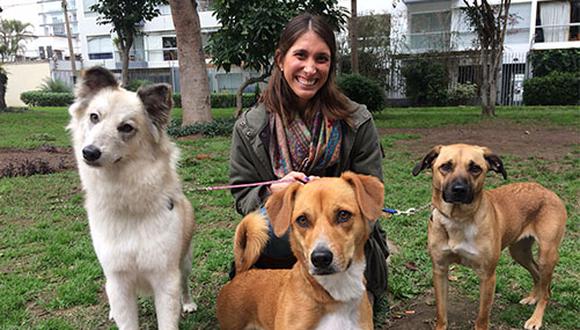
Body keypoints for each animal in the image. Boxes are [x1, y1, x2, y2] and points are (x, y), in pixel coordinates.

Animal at [68, 67, 197, 330]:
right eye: (94, 117)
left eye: (126, 127)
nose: (89, 152)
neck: (128, 200)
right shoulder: (118, 278)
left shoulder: (165, 278)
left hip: (185, 262)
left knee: (185, 283)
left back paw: (188, 303)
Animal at [412, 144, 568, 330]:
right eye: (446, 166)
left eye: (475, 168)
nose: (459, 190)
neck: (458, 219)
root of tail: (547, 190)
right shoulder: (440, 270)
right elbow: (441, 313)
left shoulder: (487, 276)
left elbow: (482, 317)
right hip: (519, 252)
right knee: (538, 275)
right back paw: (533, 297)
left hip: (547, 254)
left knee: (545, 288)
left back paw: (536, 318)